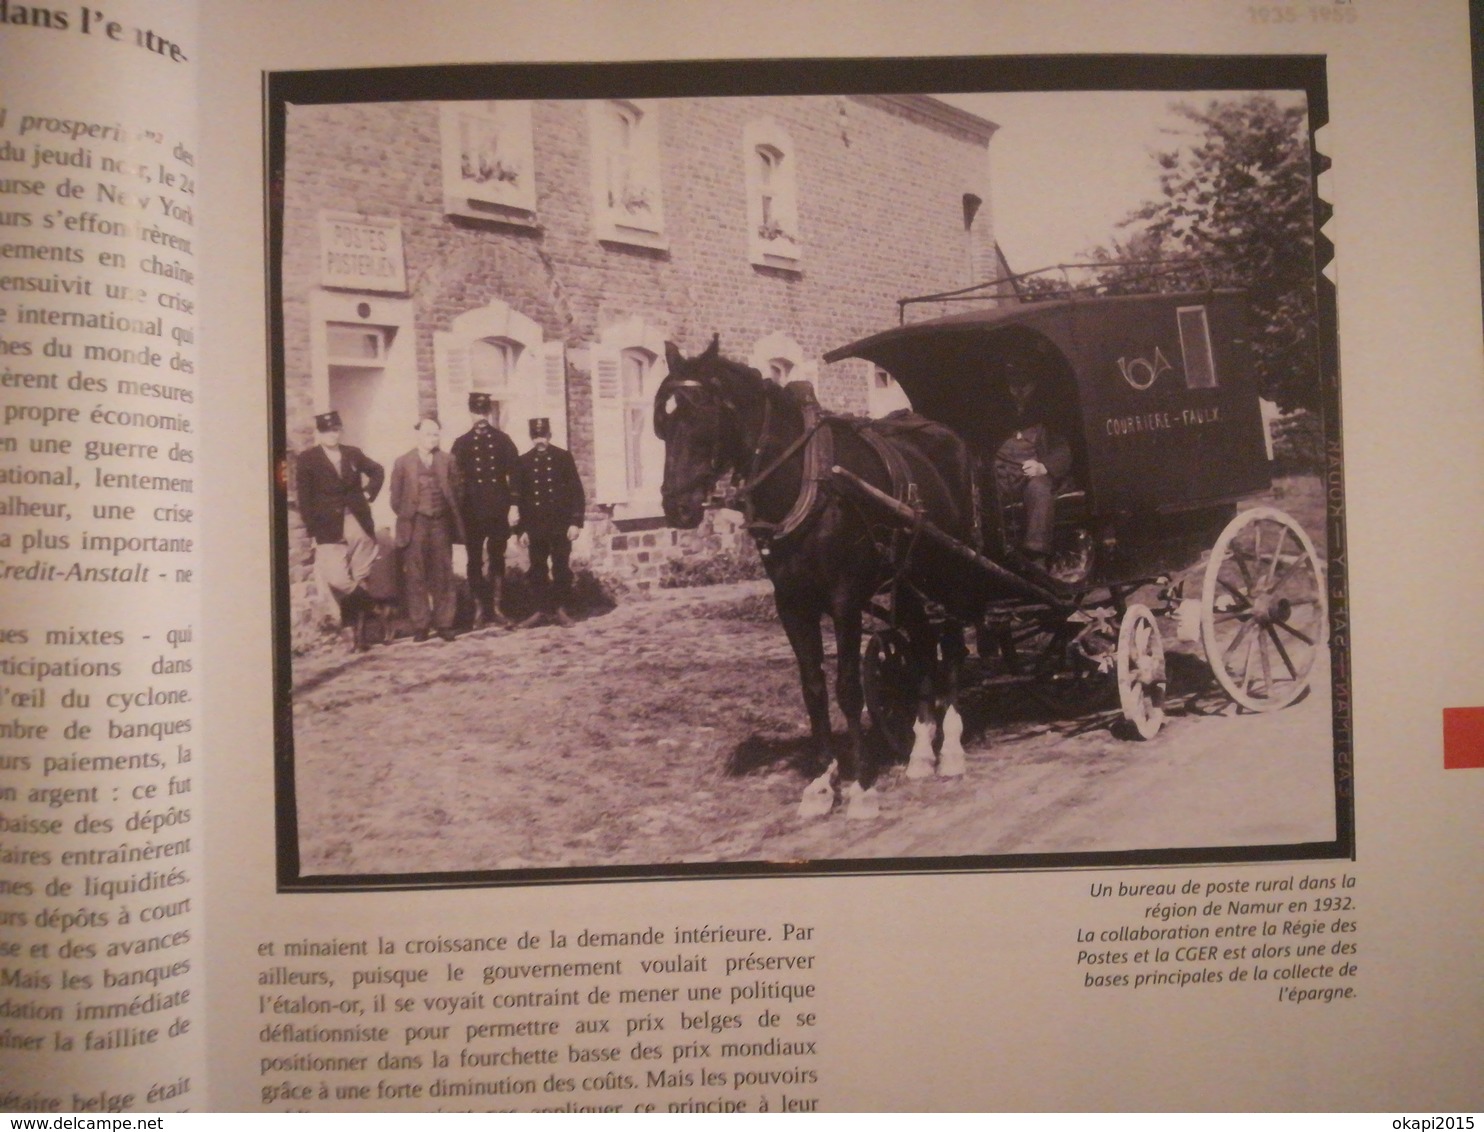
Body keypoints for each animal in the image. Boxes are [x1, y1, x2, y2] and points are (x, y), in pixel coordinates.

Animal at [661, 338, 985, 824]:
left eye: (703, 414)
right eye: (663, 421)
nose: (675, 506)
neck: (810, 480)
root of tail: (947, 435)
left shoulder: (844, 599)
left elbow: (847, 689)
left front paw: (862, 786)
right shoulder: (792, 603)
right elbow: (813, 688)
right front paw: (819, 783)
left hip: (951, 566)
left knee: (950, 640)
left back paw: (950, 749)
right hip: (908, 575)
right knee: (921, 642)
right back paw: (921, 750)